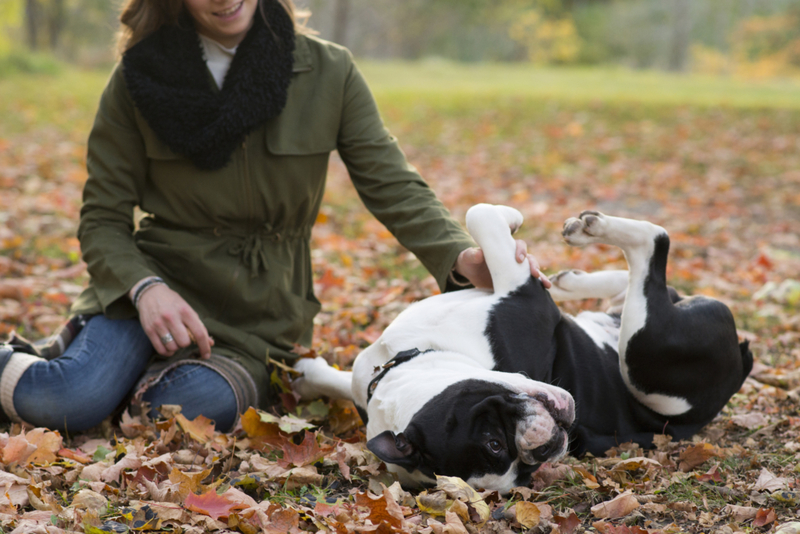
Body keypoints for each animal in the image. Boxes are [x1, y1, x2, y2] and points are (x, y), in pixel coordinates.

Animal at [292, 204, 752, 494]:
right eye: (498, 446)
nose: (543, 449)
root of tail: (744, 358)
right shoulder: (527, 296)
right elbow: (483, 218)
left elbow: (482, 218)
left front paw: (303, 370)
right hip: (646, 360)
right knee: (652, 253)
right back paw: (593, 236)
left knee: (635, 286)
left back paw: (576, 273)